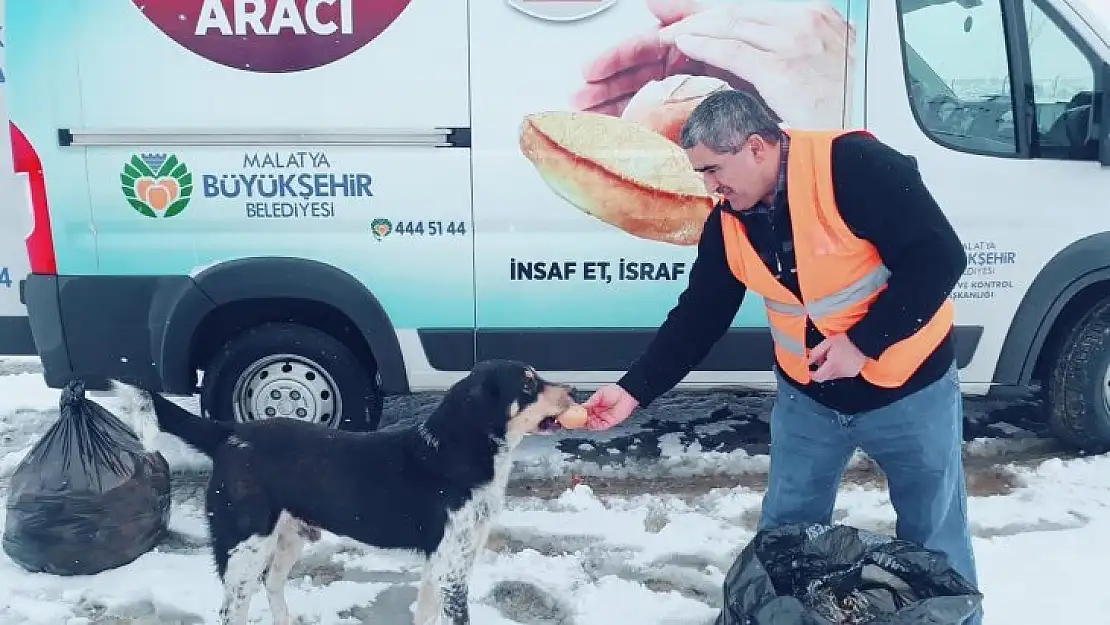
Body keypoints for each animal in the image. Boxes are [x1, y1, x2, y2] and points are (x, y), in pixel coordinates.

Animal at [121, 359, 577, 621]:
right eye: (528, 384)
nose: (573, 390)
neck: (456, 450)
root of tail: (229, 433)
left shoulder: (441, 565)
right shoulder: (451, 569)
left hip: (286, 539)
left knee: (273, 586)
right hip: (244, 548)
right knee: (232, 608)